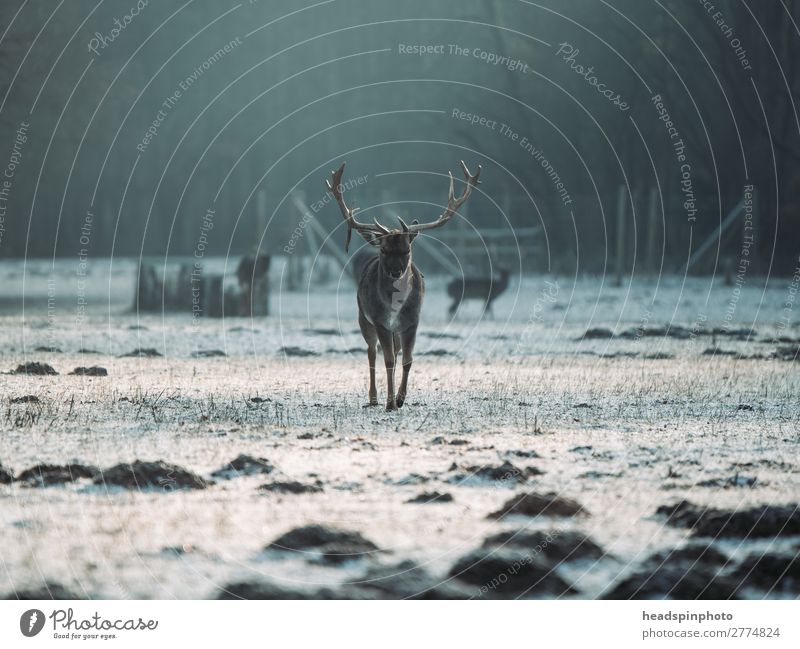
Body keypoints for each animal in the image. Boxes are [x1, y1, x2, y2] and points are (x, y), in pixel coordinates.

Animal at [326, 159, 482, 408]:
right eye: (383, 250)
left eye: (407, 249)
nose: (395, 271)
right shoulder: (380, 321)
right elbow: (388, 360)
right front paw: (390, 402)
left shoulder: (412, 322)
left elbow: (407, 360)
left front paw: (400, 399)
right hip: (363, 318)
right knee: (372, 352)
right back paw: (373, 398)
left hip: (395, 329)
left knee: (394, 352)